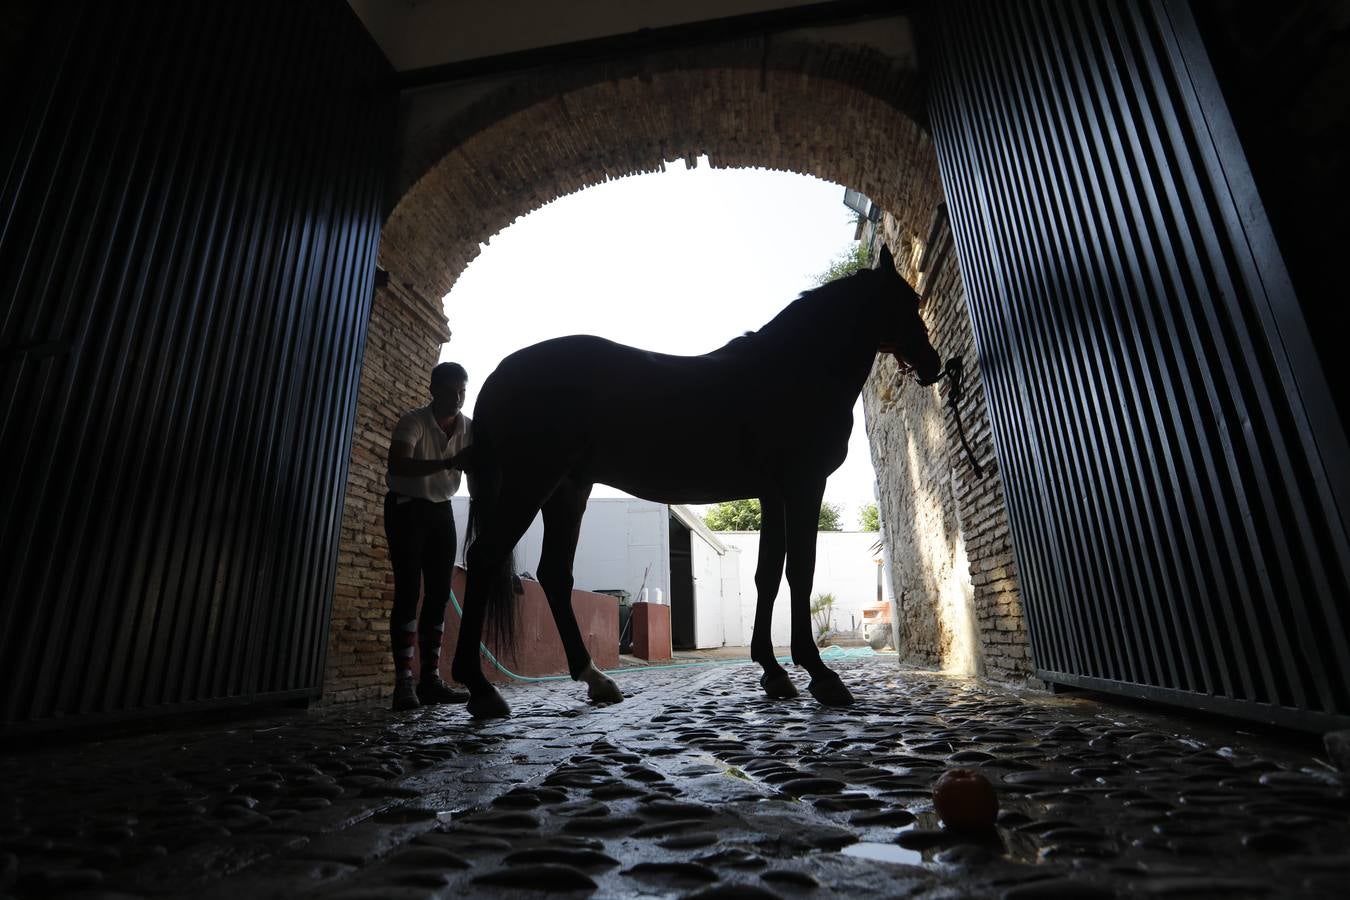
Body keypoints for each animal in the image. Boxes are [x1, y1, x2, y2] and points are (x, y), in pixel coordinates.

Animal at [450, 244, 939, 717]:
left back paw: (594, 679)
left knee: (553, 574)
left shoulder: (772, 493)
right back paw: (481, 689)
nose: (933, 365)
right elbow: (800, 571)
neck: (794, 370)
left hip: (567, 490)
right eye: (910, 301)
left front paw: (773, 671)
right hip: (531, 482)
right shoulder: (803, 484)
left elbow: (767, 574)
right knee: (484, 557)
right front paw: (820, 674)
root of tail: (500, 375)